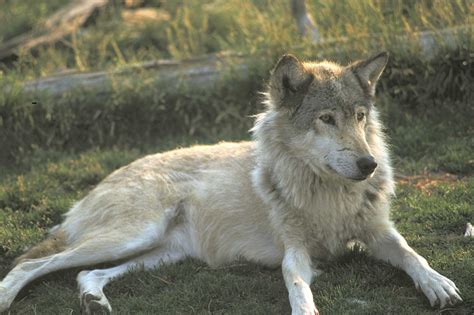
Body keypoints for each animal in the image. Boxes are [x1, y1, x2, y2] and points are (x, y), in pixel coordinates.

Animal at [0, 53, 462, 314]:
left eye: (360, 116)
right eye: (327, 119)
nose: (369, 164)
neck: (327, 193)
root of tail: (100, 184)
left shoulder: (379, 233)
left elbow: (413, 254)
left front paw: (437, 284)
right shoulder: (294, 253)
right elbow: (297, 287)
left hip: (159, 253)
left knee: (86, 274)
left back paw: (94, 301)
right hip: (131, 236)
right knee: (29, 265)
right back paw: (10, 299)